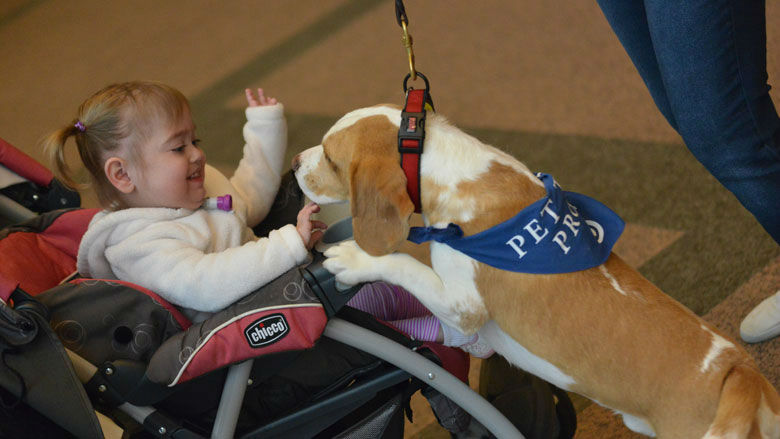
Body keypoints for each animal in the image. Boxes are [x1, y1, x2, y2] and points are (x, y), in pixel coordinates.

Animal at [292, 105, 780, 438]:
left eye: (331, 159)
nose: (294, 162)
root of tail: (739, 373)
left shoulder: (461, 306)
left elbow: (402, 264)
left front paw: (354, 259)